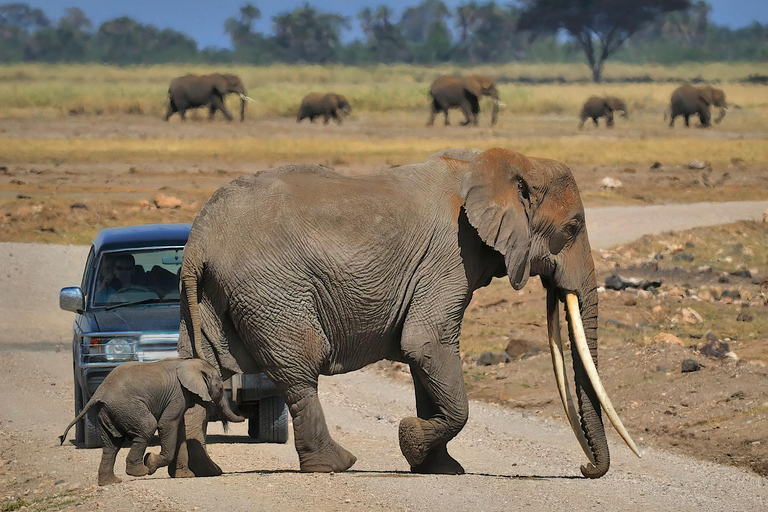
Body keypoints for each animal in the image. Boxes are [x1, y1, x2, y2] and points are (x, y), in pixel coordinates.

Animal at [60, 358, 243, 486]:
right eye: (220, 388)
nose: (242, 416)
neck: (189, 363)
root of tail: (99, 392)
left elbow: (179, 431)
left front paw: (185, 476)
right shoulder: (178, 395)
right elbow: (166, 425)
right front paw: (151, 462)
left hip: (107, 412)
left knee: (112, 444)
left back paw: (111, 482)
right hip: (127, 407)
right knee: (148, 426)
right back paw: (140, 471)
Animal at [177, 146, 640, 478]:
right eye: (573, 227)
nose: (585, 467)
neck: (502, 162)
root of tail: (199, 238)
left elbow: (424, 360)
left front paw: (440, 468)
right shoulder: (450, 253)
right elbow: (426, 342)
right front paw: (411, 439)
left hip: (204, 297)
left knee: (199, 370)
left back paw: (199, 473)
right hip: (272, 291)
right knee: (299, 373)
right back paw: (336, 465)